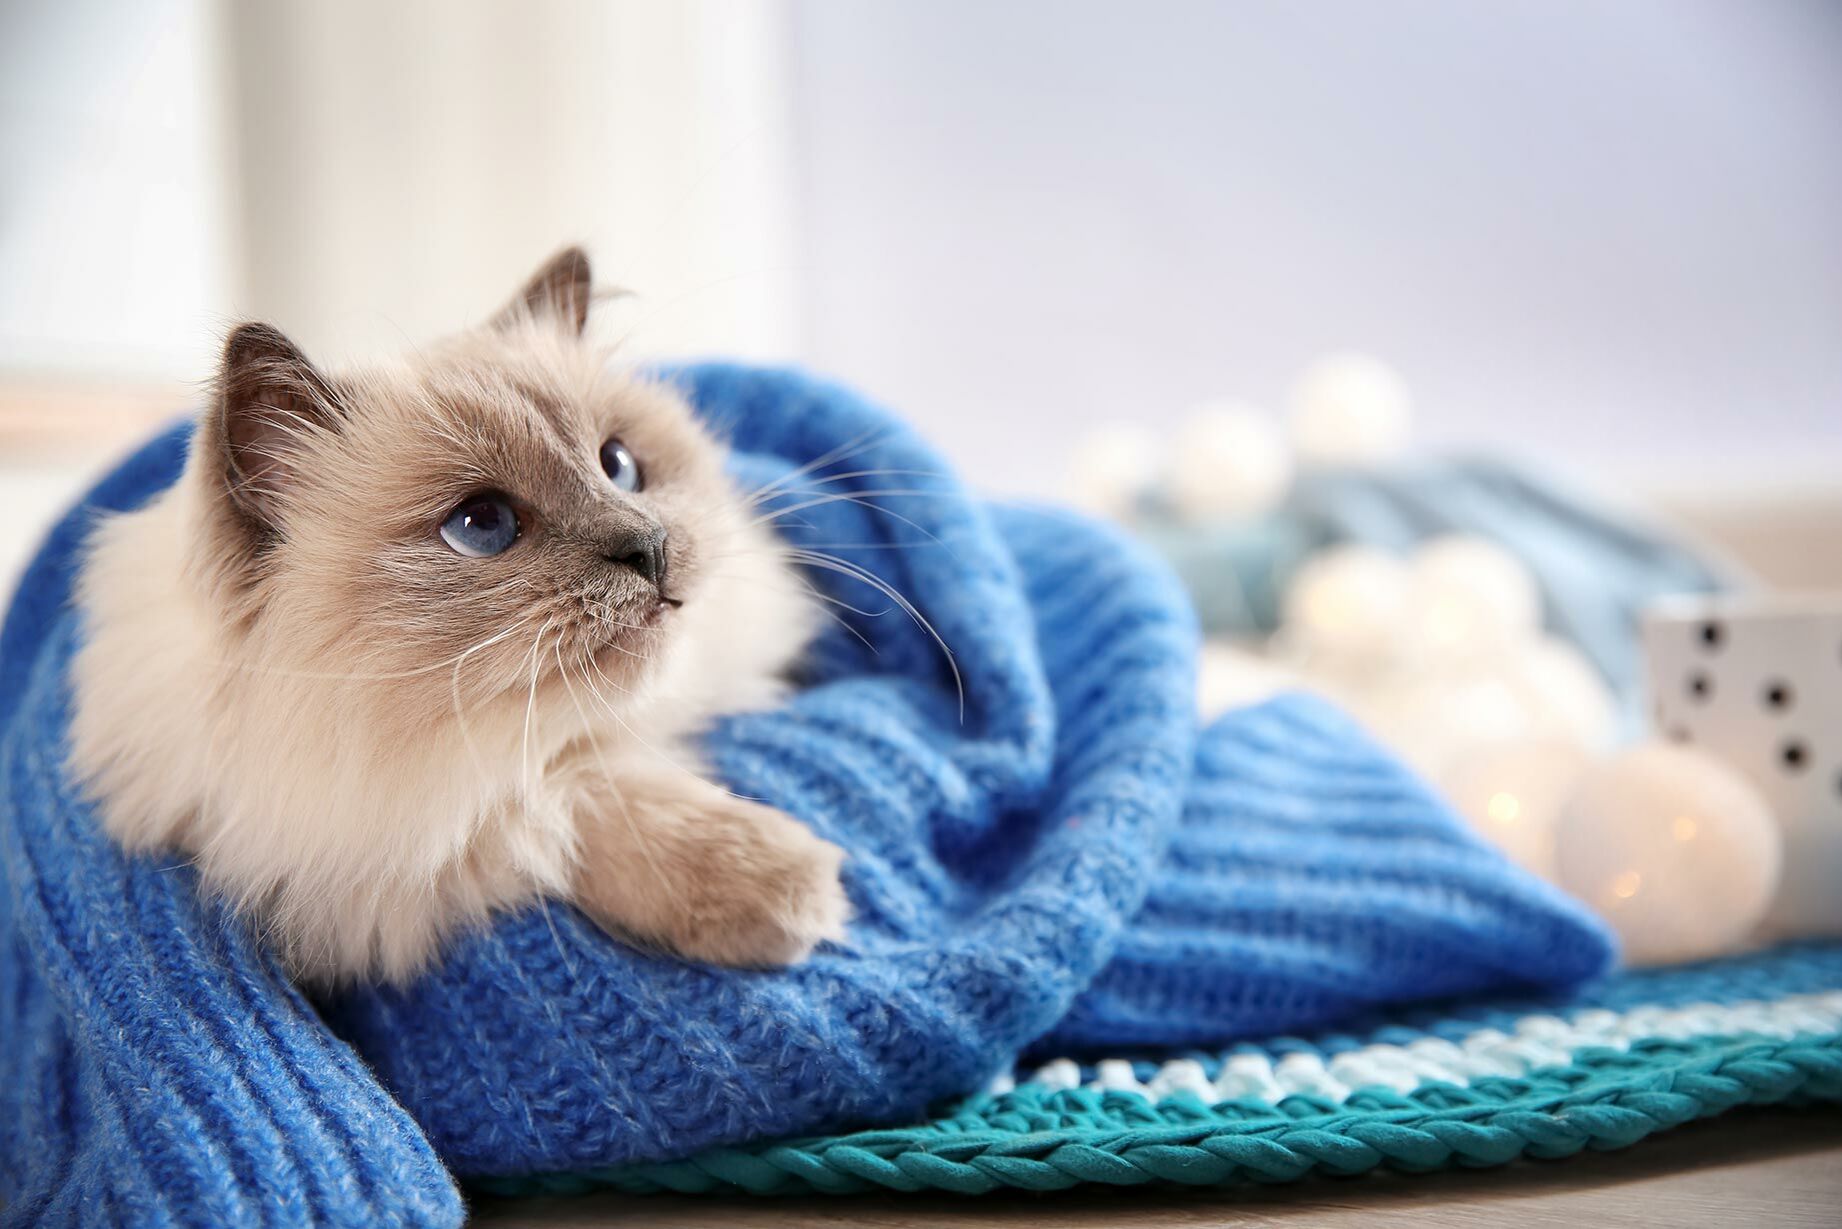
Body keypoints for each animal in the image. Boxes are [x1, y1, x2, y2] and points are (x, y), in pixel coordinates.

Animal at [68, 250, 847, 987]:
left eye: (619, 465)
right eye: (482, 525)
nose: (649, 547)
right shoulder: (392, 854)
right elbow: (569, 797)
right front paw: (788, 888)